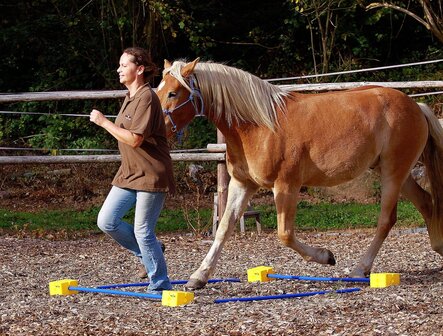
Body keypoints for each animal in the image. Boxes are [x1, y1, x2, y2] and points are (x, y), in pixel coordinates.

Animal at [157, 57, 443, 288]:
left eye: (172, 93)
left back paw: (360, 268)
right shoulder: (243, 184)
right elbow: (224, 228)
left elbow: (285, 235)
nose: (156, 126)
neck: (258, 126)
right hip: (395, 172)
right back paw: (438, 247)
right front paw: (198, 277)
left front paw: (326, 256)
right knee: (426, 202)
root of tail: (416, 106)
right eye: (158, 89)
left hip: (393, 173)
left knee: (386, 220)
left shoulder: (286, 186)